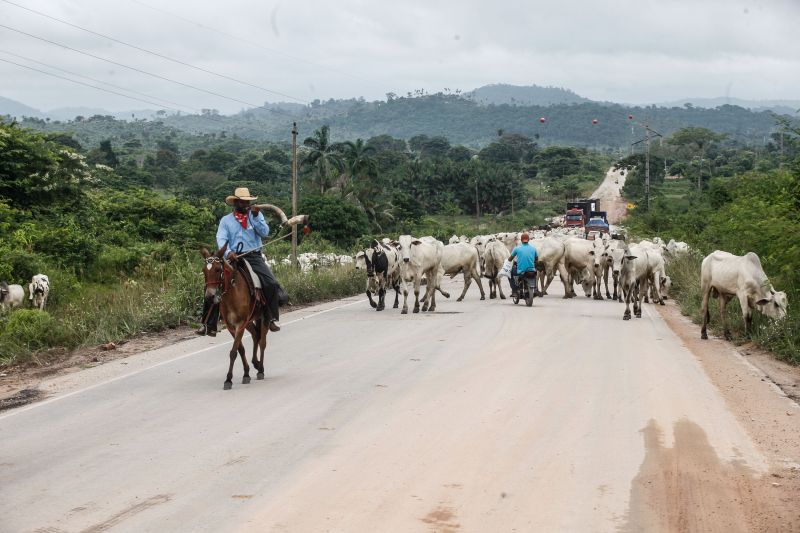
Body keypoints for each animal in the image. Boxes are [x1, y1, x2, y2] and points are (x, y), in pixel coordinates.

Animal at [200, 243, 268, 388]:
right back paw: (255, 362)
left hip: (263, 317)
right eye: (204, 271)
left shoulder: (240, 324)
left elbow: (233, 352)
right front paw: (246, 373)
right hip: (249, 321)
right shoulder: (232, 326)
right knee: (256, 335)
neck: (232, 293)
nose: (209, 296)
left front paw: (228, 379)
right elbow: (240, 349)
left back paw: (260, 369)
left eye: (217, 269)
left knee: (263, 342)